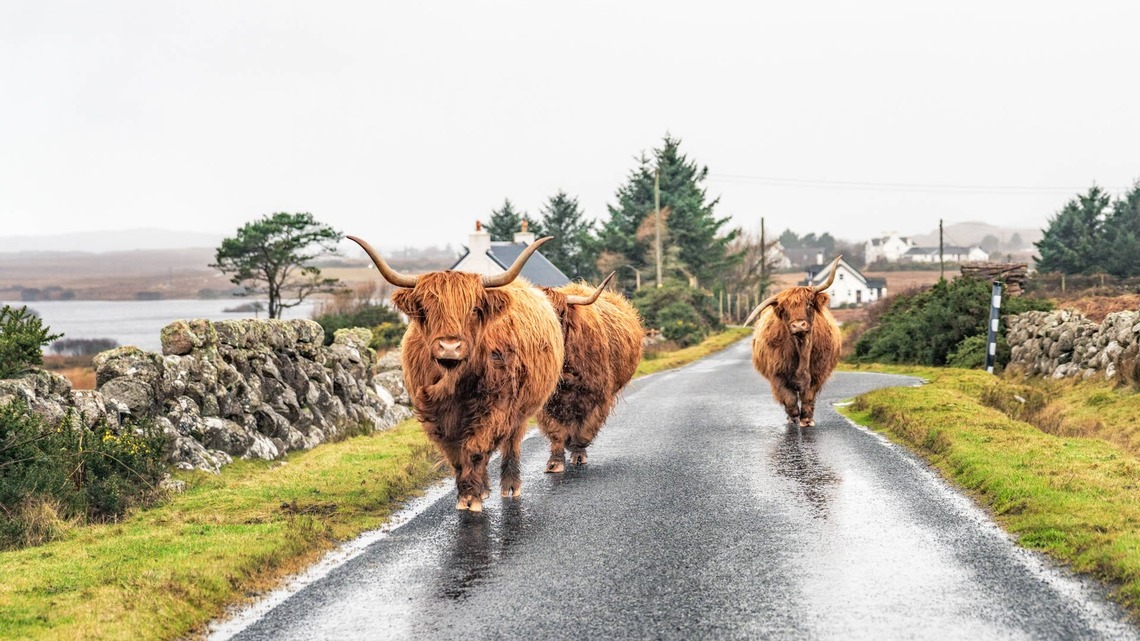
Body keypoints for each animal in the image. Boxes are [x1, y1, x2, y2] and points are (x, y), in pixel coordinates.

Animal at [348, 235, 564, 512]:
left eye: (473, 310)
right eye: (426, 310)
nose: (450, 346)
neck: (454, 383)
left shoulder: (495, 409)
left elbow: (476, 449)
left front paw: (472, 498)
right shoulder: (437, 417)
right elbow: (457, 456)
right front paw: (467, 494)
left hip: (521, 410)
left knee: (510, 443)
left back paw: (510, 486)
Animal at [538, 272, 644, 472]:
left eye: (559, 314)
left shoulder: (597, 396)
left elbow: (586, 429)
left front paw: (578, 453)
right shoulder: (546, 401)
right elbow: (555, 430)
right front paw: (555, 462)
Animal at [744, 256, 843, 428]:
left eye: (809, 304)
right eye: (785, 310)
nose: (798, 325)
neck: (802, 346)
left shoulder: (817, 373)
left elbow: (808, 397)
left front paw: (807, 419)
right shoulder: (778, 375)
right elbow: (789, 398)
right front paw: (794, 417)